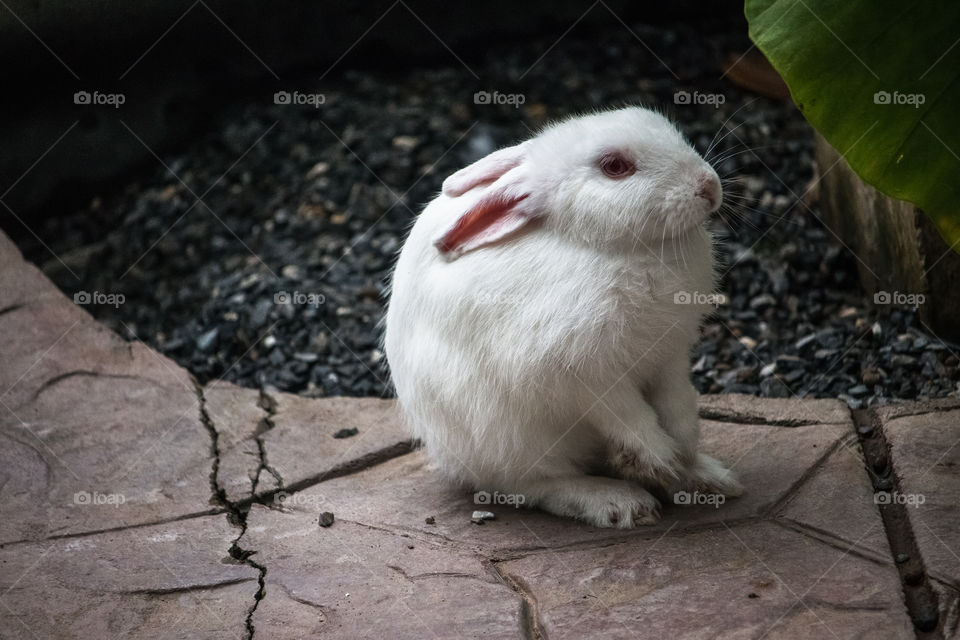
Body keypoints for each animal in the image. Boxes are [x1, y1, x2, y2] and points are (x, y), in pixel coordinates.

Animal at [384, 106, 742, 529]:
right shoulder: (577, 372)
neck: (614, 248)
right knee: (534, 485)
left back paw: (707, 479)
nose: (709, 186)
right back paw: (620, 502)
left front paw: (683, 453)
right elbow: (623, 412)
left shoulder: (670, 355)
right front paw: (660, 458)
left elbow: (678, 401)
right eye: (615, 166)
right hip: (508, 438)